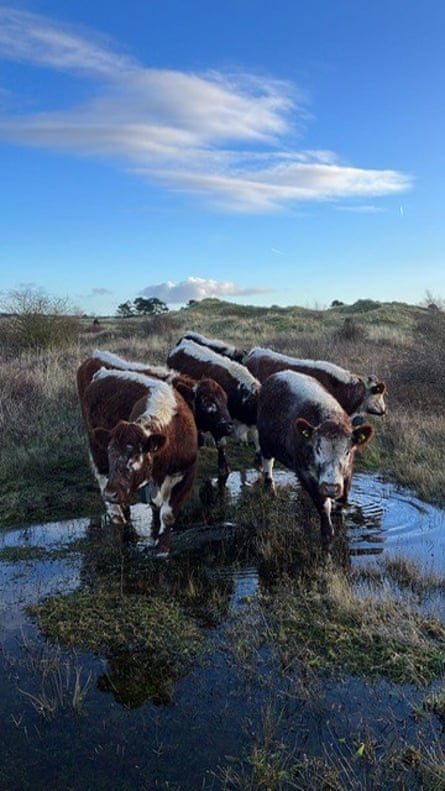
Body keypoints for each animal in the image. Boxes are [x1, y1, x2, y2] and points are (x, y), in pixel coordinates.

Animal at [79, 367, 199, 557]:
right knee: (106, 487)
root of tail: (102, 373)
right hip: (97, 455)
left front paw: (161, 547)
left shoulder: (186, 474)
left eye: (135, 457)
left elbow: (167, 514)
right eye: (111, 455)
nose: (111, 494)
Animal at [256, 370, 374, 539]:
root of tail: (277, 375)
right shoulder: (305, 473)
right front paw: (327, 533)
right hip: (265, 442)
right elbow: (324, 505)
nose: (330, 488)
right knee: (268, 464)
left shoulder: (347, 474)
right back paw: (270, 489)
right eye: (317, 449)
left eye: (347, 452)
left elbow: (341, 502)